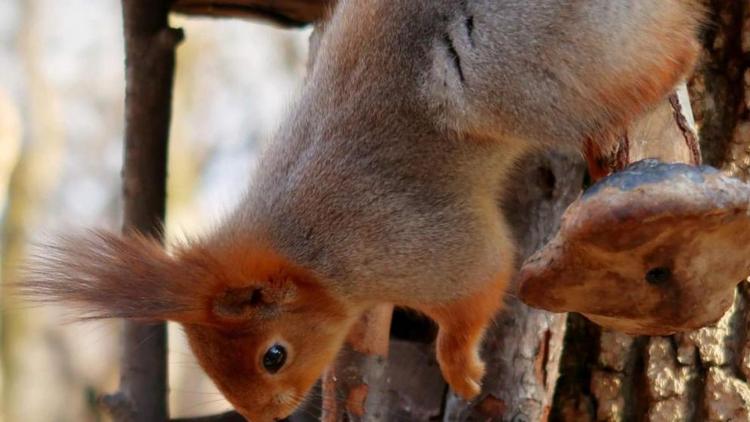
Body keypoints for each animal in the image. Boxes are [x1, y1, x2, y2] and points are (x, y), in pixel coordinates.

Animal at [25, 1, 704, 420]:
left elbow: (482, 283)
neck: (309, 250)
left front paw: (460, 370)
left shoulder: (416, 246)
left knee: (669, 53)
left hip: (523, 65)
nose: (265, 416)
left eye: (274, 356)